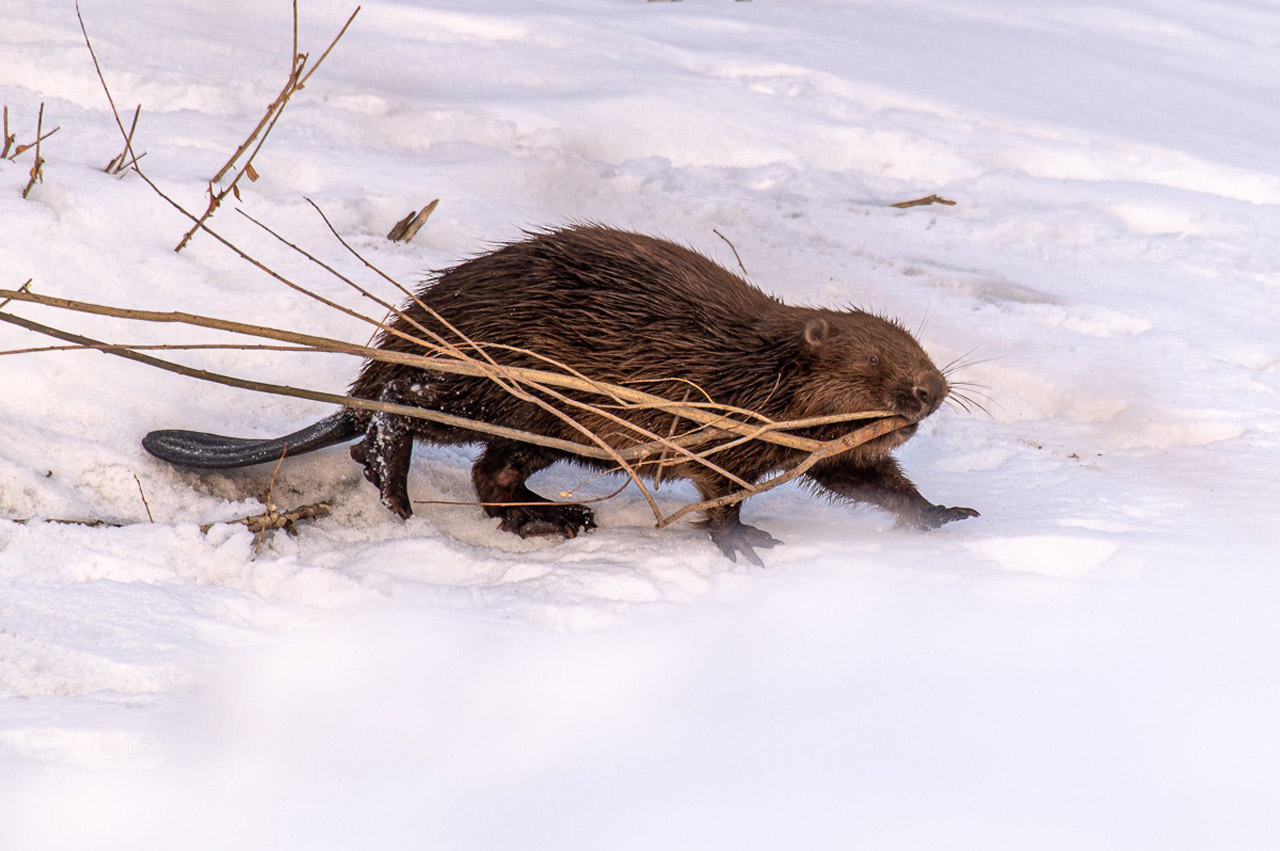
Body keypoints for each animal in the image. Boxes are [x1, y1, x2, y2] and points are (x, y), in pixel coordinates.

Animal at [142, 223, 977, 563]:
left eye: (917, 347)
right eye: (875, 356)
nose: (931, 390)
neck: (755, 363)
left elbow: (860, 473)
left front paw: (946, 513)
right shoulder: (709, 408)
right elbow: (720, 487)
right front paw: (742, 542)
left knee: (492, 472)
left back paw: (558, 515)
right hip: (499, 386)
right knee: (399, 420)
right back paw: (401, 491)